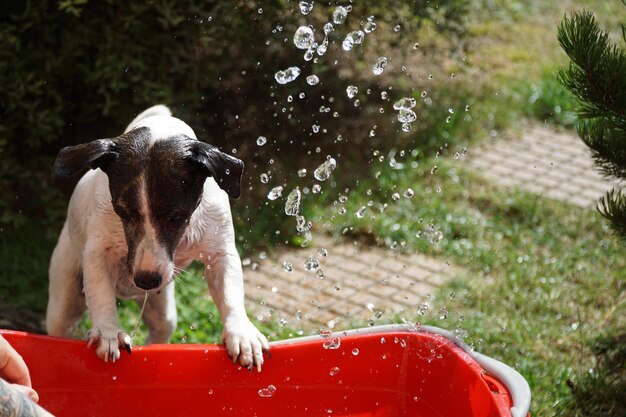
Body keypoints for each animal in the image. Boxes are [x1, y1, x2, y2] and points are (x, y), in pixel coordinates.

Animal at [45, 105, 266, 368]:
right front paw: (108, 332)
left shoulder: (220, 251)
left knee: (160, 331)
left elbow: (229, 291)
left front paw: (241, 333)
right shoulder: (98, 253)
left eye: (177, 216)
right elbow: (101, 295)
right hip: (64, 295)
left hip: (162, 312)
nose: (146, 281)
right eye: (122, 211)